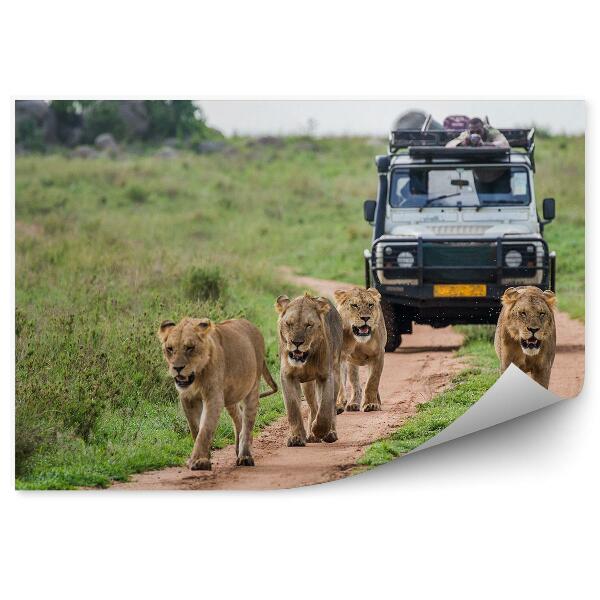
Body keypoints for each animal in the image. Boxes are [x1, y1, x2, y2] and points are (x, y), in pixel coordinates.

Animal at [155, 316, 276, 472]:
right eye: (170, 349)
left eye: (190, 348)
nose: (177, 368)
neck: (197, 376)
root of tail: (252, 325)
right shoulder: (187, 398)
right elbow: (195, 429)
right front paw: (204, 458)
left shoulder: (214, 397)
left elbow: (205, 429)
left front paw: (198, 461)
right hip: (230, 396)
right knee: (238, 418)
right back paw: (238, 449)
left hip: (252, 388)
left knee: (247, 423)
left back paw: (245, 456)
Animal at [276, 292, 342, 448]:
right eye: (289, 324)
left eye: (308, 325)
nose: (297, 342)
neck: (306, 360)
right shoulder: (287, 376)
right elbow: (293, 408)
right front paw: (296, 437)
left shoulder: (326, 376)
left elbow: (325, 408)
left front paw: (319, 430)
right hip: (307, 384)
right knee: (313, 406)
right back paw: (311, 436)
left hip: (335, 374)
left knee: (330, 407)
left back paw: (329, 433)